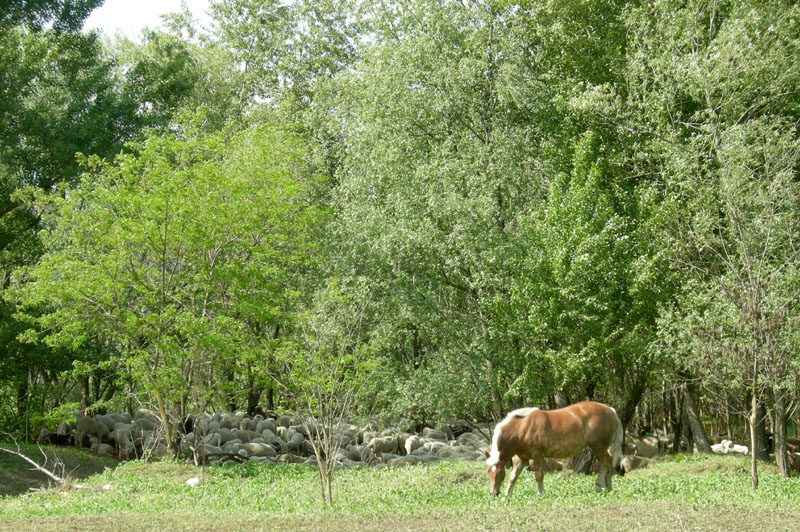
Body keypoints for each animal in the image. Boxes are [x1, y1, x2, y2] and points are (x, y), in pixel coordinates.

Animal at [484, 402, 620, 496]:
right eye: (488, 471)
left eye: (500, 472)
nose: (493, 493)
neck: (521, 428)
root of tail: (611, 410)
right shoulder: (521, 459)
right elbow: (513, 476)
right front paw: (507, 494)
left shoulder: (537, 455)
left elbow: (539, 475)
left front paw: (540, 493)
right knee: (608, 463)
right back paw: (608, 487)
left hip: (598, 447)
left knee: (606, 462)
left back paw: (598, 485)